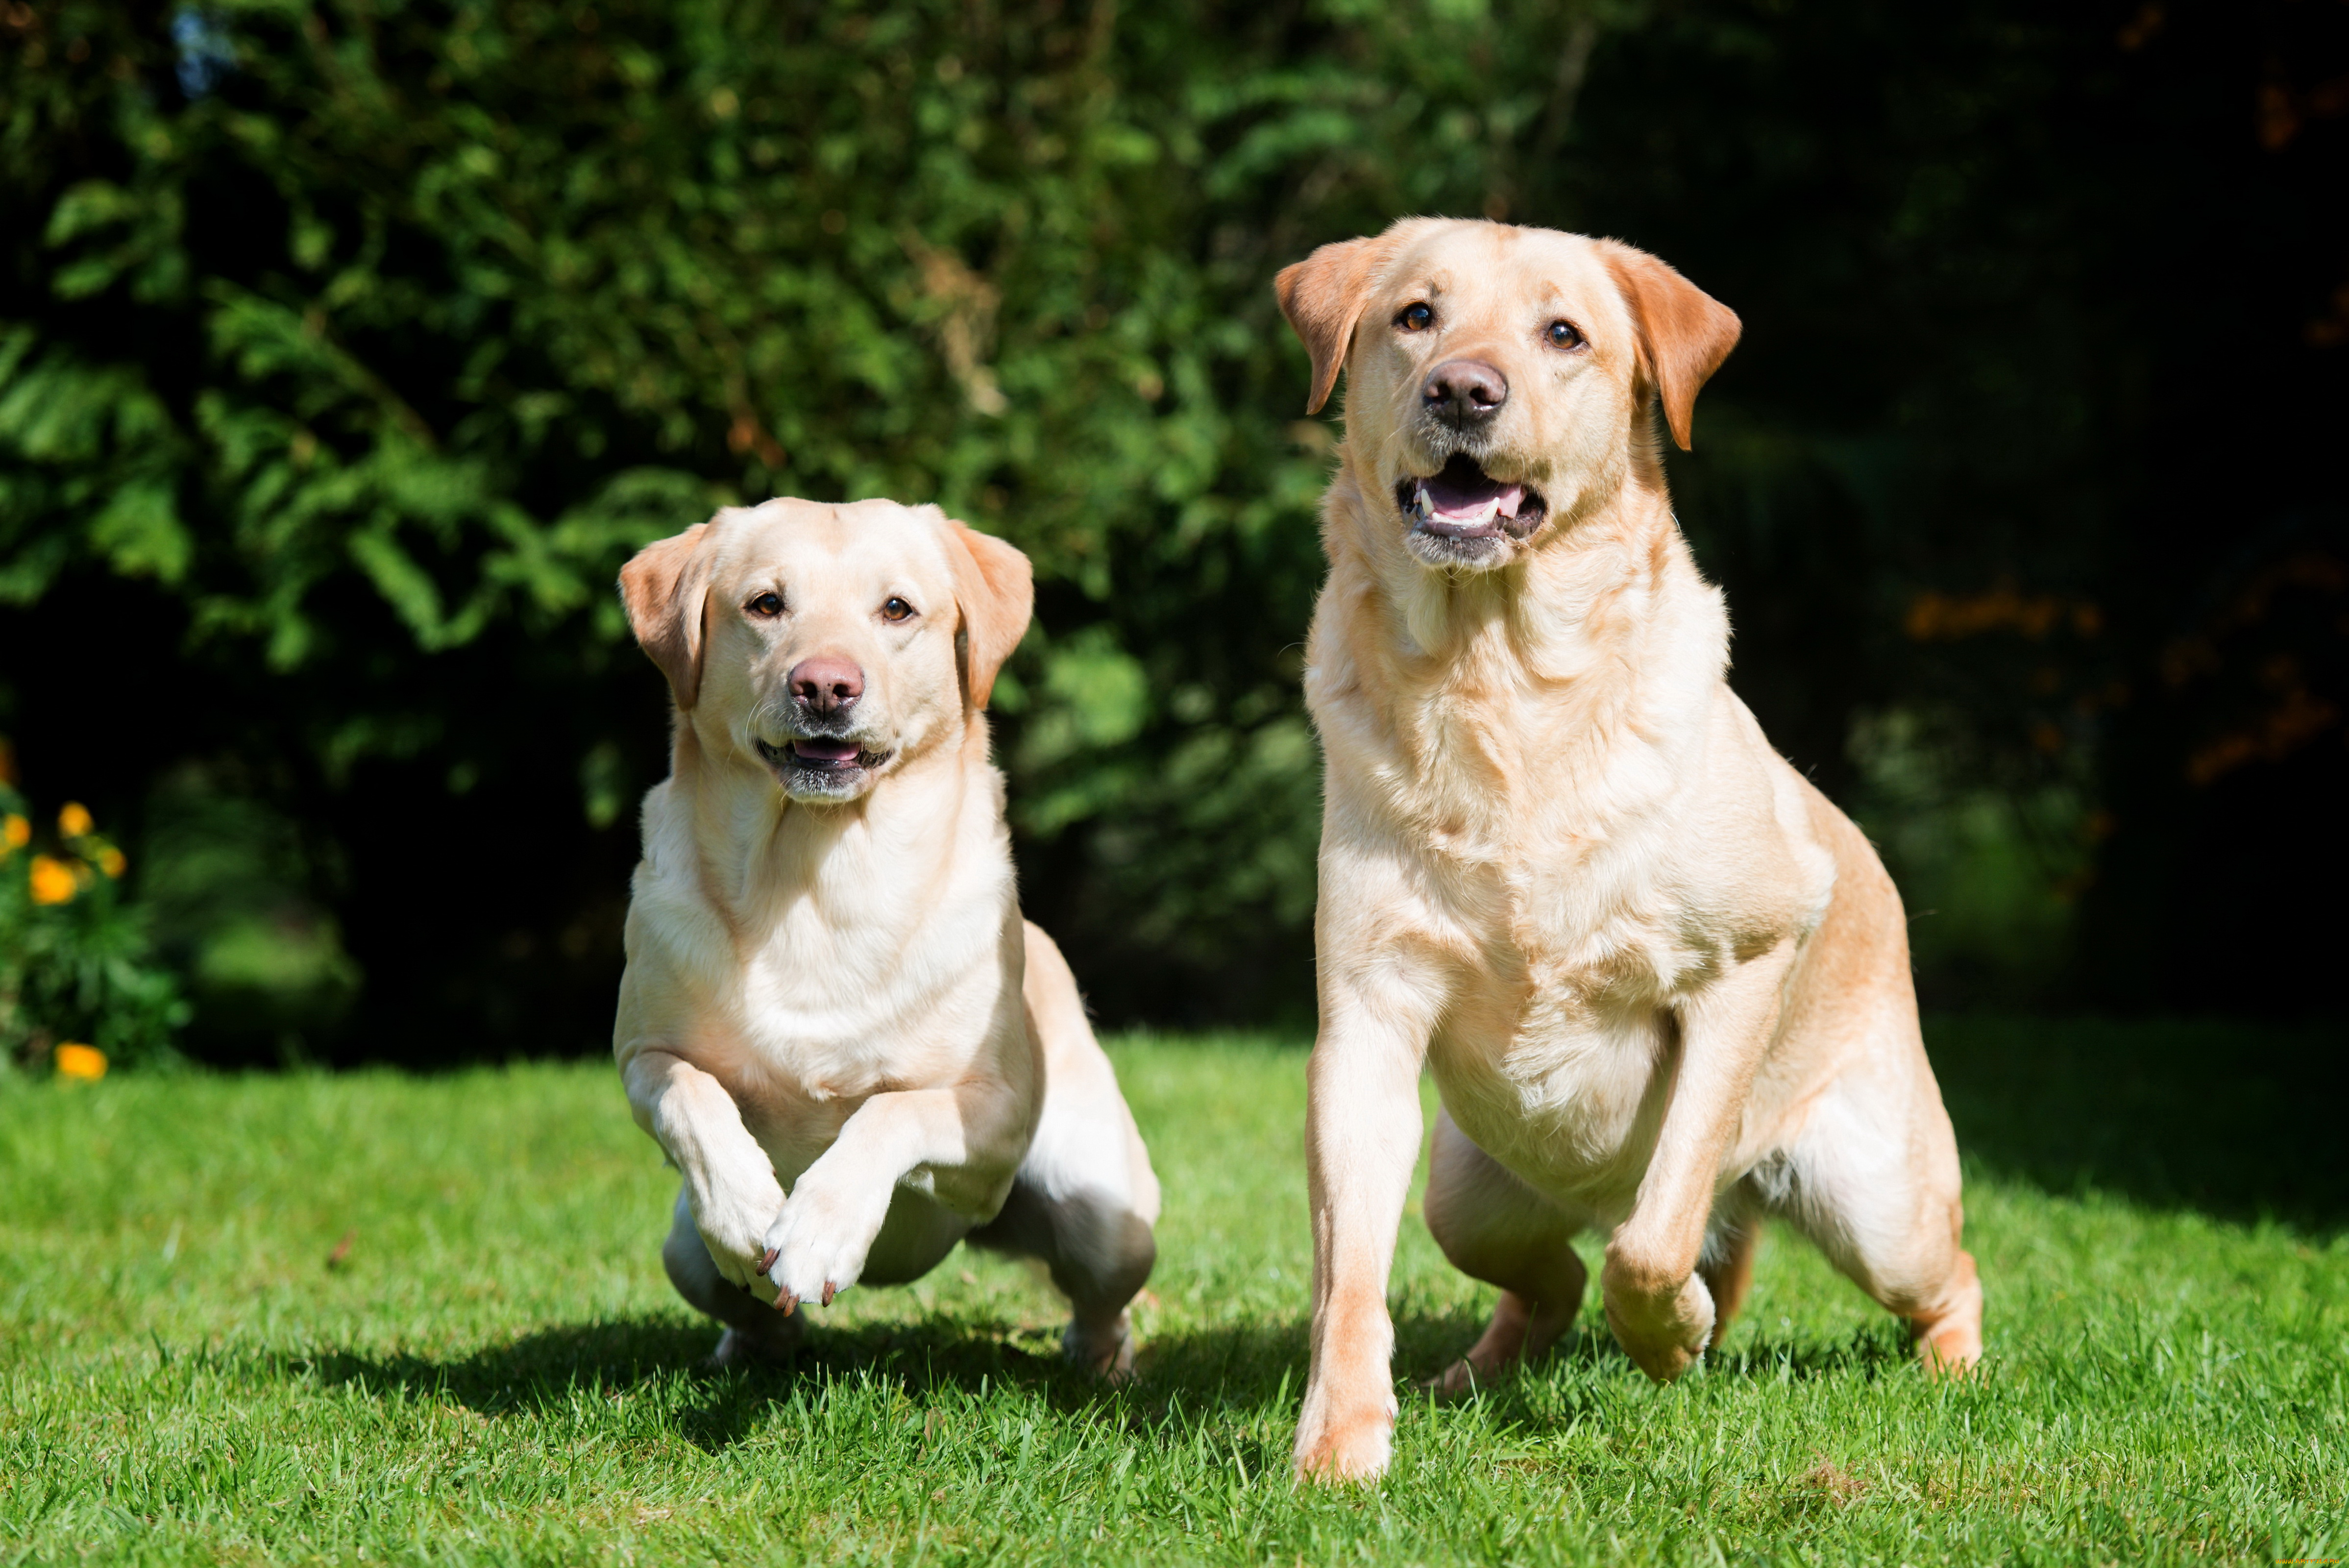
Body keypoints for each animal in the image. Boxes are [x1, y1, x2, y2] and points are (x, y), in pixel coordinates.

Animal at [606, 500, 1155, 1371]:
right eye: (766, 604)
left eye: (896, 609)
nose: (825, 685)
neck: (817, 883)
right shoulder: (642, 1058)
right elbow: (690, 1097)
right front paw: (748, 1211)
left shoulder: (992, 1115)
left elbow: (891, 1112)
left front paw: (820, 1229)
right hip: (681, 1256)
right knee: (740, 1301)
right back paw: (753, 1342)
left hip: (1106, 1215)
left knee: (1104, 1296)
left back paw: (1100, 1364)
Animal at [1277, 220, 1973, 1483]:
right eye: (1415, 316)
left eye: (1563, 333)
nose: (1463, 390)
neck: (1500, 678)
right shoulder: (1364, 1025)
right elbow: (1347, 1276)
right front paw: (1340, 1444)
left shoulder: (1739, 968)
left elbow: (1657, 1238)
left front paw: (1670, 1334)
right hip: (1468, 1192)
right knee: (1545, 1279)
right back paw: (1476, 1369)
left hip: (1879, 1204)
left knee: (1936, 1272)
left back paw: (1950, 1366)